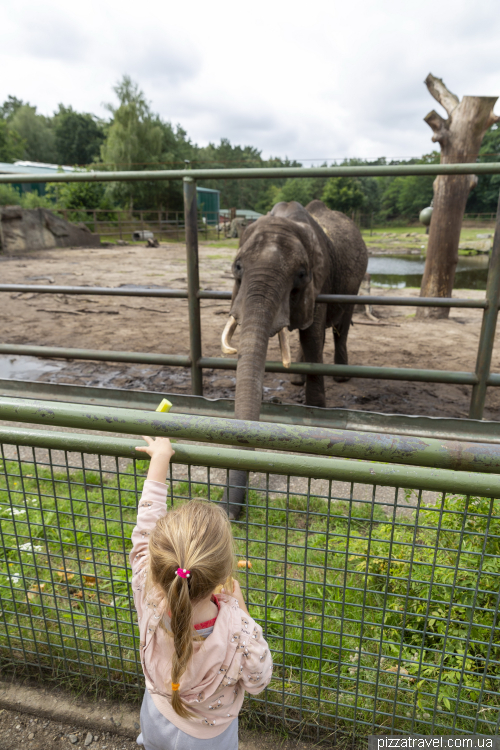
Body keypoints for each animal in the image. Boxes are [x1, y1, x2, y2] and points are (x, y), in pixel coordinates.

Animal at [219, 198, 368, 516]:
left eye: (301, 274)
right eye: (237, 267)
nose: (228, 512)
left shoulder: (321, 279)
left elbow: (312, 336)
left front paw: (316, 411)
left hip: (354, 283)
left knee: (340, 326)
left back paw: (341, 376)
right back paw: (297, 381)